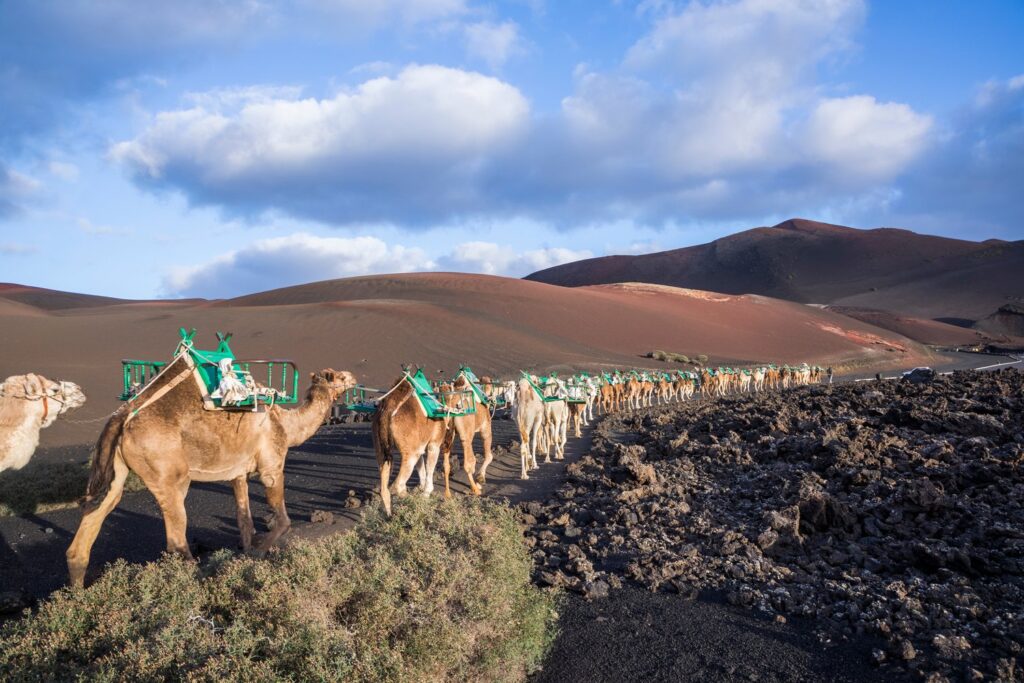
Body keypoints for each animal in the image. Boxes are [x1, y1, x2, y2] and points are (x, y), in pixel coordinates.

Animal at [66, 352, 356, 588]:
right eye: (339, 376)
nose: (353, 378)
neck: (286, 425)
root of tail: (122, 416)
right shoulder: (272, 465)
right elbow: (283, 521)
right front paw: (260, 553)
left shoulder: (238, 474)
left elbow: (244, 520)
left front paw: (246, 555)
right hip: (168, 473)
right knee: (176, 537)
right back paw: (197, 579)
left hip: (117, 470)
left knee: (95, 516)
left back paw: (77, 595)